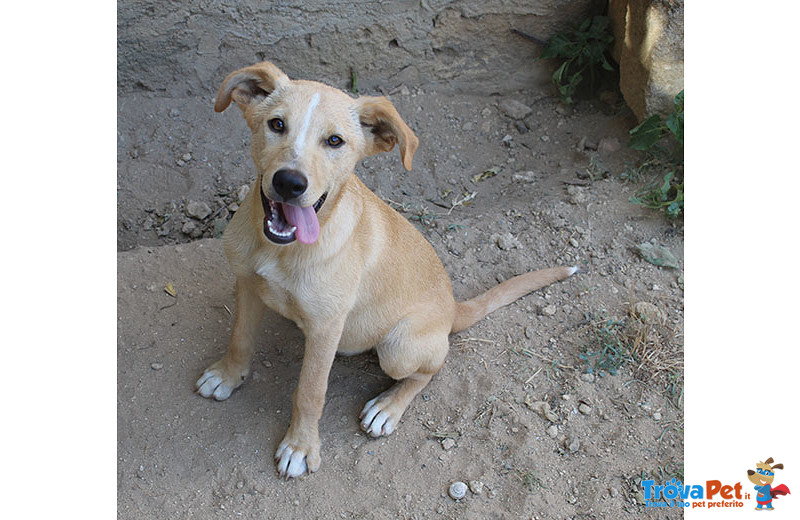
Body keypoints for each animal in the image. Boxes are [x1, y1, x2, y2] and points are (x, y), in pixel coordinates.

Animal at [197, 62, 580, 480]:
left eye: (335, 141)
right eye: (277, 124)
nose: (289, 182)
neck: (281, 250)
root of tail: (452, 308)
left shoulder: (327, 326)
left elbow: (311, 391)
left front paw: (300, 446)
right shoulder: (247, 285)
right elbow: (240, 338)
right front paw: (228, 375)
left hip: (399, 346)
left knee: (430, 369)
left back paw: (387, 407)